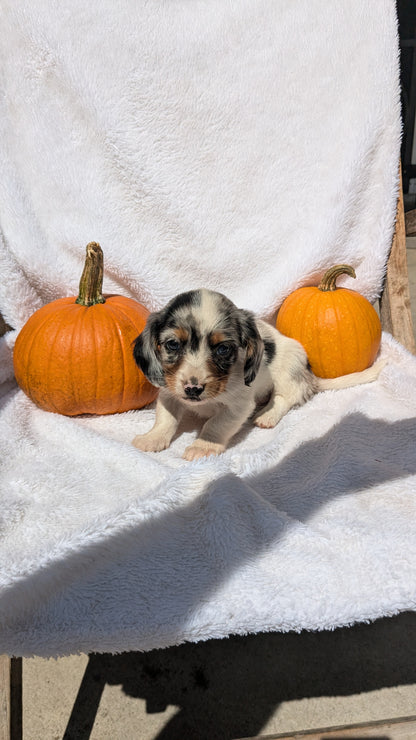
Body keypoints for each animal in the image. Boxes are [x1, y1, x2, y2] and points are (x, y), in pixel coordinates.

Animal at [132, 288, 384, 456]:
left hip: (288, 371)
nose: (193, 389)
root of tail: (310, 377)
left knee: (285, 398)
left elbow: (215, 424)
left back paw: (267, 415)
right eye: (173, 344)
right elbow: (166, 419)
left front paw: (203, 446)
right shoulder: (169, 393)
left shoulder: (238, 406)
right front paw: (152, 439)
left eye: (223, 349)